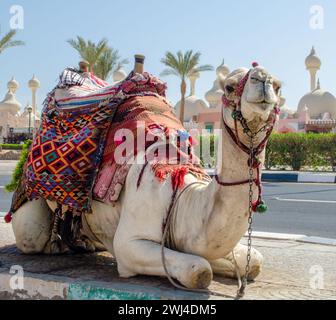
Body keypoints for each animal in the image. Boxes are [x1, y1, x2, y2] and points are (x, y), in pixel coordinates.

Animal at [10, 57, 282, 290]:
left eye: (279, 87)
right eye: (229, 86)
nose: (264, 79)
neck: (181, 195)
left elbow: (253, 262)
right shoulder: (129, 243)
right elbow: (199, 270)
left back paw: (82, 242)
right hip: (30, 208)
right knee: (31, 235)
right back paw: (57, 245)